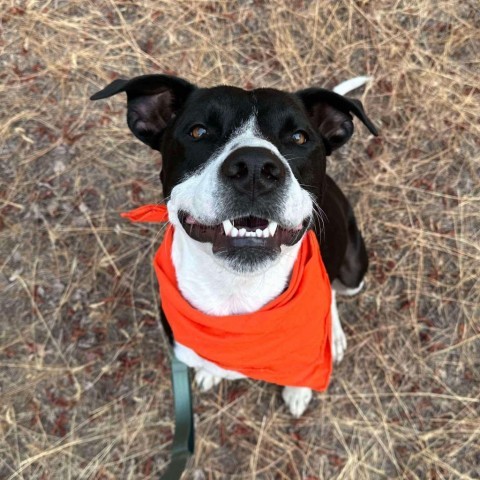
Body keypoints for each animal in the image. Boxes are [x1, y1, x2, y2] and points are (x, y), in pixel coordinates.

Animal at [89, 74, 376, 416]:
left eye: (298, 137)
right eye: (198, 132)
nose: (254, 168)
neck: (237, 290)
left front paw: (298, 390)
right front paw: (210, 373)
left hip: (354, 271)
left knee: (332, 289)